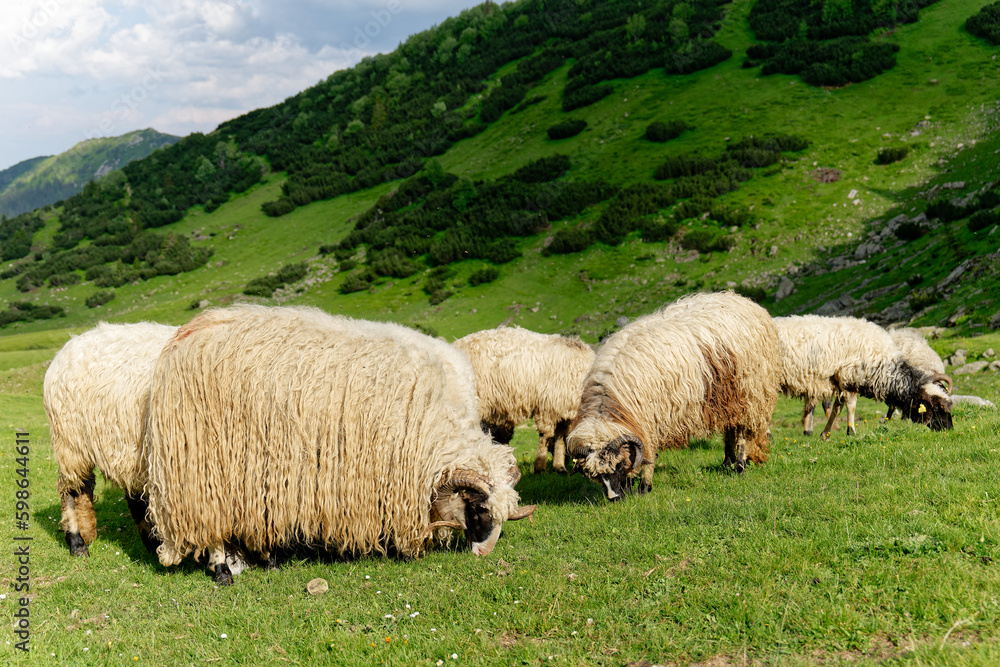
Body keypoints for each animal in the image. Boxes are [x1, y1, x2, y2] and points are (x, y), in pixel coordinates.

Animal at [142, 305, 536, 584]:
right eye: (480, 509)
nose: (483, 554)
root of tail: (190, 332)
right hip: (205, 459)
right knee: (212, 517)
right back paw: (227, 567)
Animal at [453, 326, 596, 474]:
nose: (570, 462)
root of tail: (457, 343)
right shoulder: (548, 406)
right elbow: (546, 436)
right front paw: (540, 467)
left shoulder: (563, 408)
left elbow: (560, 438)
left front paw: (559, 467)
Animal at [566, 291, 781, 501]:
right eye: (596, 476)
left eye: (618, 466)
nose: (615, 498)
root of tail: (745, 300)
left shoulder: (650, 421)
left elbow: (648, 454)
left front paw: (644, 487)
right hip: (728, 397)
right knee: (730, 427)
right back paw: (727, 462)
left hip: (751, 392)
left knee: (743, 431)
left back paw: (739, 466)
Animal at [775, 315, 953, 439]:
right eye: (937, 408)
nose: (949, 429)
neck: (883, 366)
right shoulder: (849, 379)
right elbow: (851, 406)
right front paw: (851, 432)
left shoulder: (841, 382)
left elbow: (837, 409)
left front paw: (825, 434)